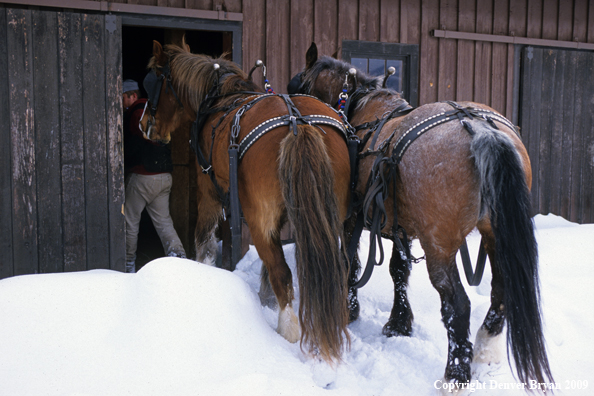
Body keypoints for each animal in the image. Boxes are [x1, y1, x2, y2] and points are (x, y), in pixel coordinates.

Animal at [138, 41, 352, 366]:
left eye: (152, 83)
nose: (143, 126)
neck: (218, 100)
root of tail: (297, 123)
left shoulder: (209, 191)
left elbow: (205, 243)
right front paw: (265, 297)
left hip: (258, 218)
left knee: (282, 271)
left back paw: (288, 331)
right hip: (330, 216)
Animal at [286, 43, 552, 386]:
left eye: (296, 89)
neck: (359, 110)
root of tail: (477, 127)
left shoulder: (351, 219)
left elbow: (352, 263)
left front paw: (350, 310)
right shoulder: (402, 226)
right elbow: (398, 270)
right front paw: (399, 323)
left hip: (440, 245)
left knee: (457, 305)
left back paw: (456, 373)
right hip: (493, 234)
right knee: (502, 290)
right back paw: (484, 350)